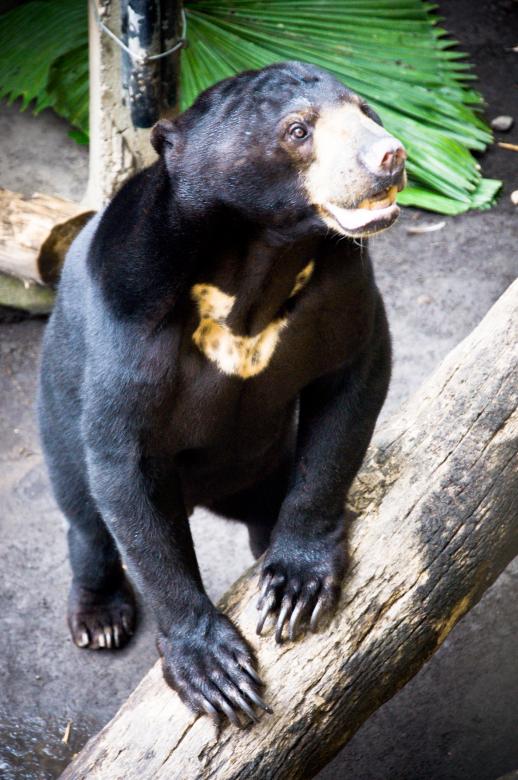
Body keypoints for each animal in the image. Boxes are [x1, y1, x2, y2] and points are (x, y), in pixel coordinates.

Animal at [38, 61, 406, 726]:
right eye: (298, 130)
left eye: (366, 111)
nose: (389, 156)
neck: (260, 259)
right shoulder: (129, 319)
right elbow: (126, 468)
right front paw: (212, 670)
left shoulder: (340, 285)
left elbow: (352, 383)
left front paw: (294, 586)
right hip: (53, 414)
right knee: (85, 512)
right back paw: (99, 616)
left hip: (261, 466)